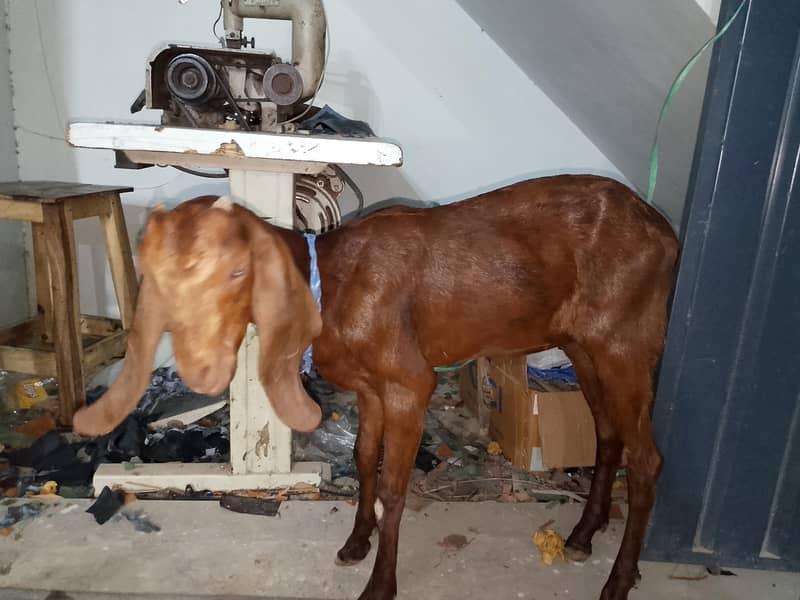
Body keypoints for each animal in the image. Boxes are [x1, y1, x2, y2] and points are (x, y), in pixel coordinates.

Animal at [73, 174, 679, 600]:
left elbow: (394, 485)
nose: (198, 367)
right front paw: (356, 541)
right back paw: (582, 535)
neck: (330, 288)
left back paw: (619, 580)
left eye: (236, 271)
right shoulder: (369, 388)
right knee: (607, 434)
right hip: (584, 345)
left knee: (647, 458)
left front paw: (380, 584)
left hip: (628, 343)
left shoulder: (410, 382)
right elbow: (365, 459)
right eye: (159, 274)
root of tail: (666, 233)